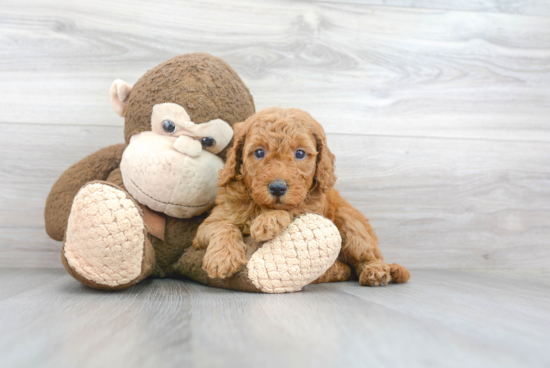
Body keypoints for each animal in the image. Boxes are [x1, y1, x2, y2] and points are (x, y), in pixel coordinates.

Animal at [192, 108, 412, 286]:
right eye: (259, 152)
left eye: (299, 153)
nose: (278, 188)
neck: (260, 206)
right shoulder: (207, 226)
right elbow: (223, 225)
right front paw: (222, 259)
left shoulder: (313, 208)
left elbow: (295, 208)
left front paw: (268, 221)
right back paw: (337, 270)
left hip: (351, 225)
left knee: (367, 256)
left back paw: (375, 272)